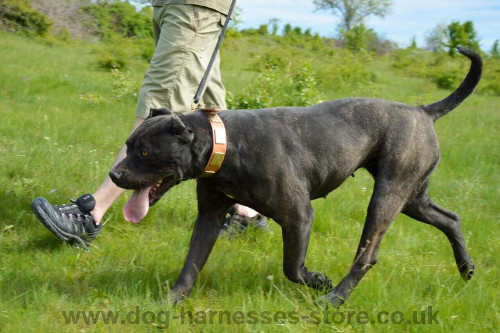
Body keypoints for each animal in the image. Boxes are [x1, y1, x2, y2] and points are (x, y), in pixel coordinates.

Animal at [110, 48, 480, 304]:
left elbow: (292, 267)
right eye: (127, 146)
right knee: (451, 219)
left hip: (387, 198)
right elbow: (191, 265)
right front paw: (169, 302)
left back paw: (334, 298)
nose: (114, 174)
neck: (224, 144)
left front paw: (317, 280)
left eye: (145, 152)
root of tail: (423, 111)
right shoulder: (210, 217)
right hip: (412, 197)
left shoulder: (298, 216)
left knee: (366, 255)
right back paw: (466, 269)